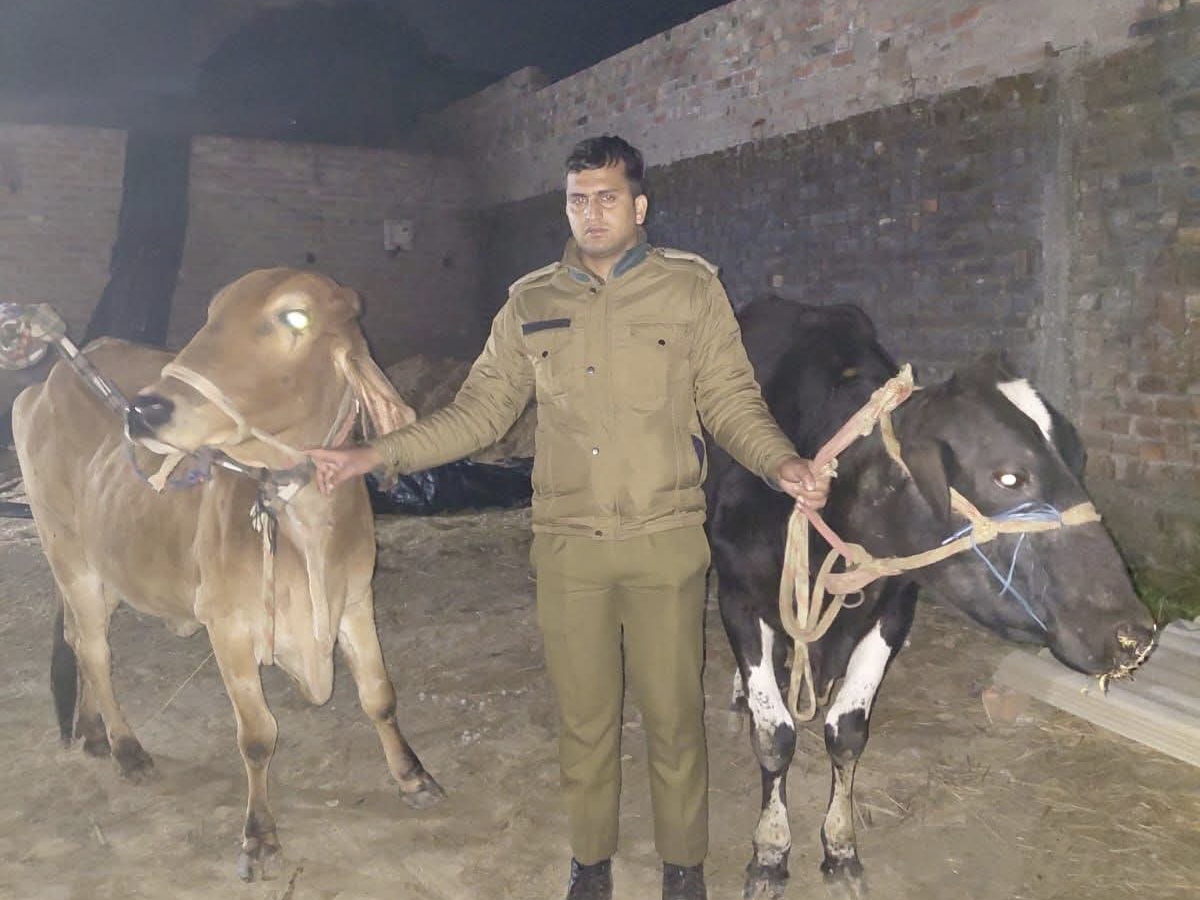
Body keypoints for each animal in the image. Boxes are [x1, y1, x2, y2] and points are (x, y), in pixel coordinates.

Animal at [12, 267, 445, 881]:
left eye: (294, 316)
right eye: (212, 315)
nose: (142, 412)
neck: (303, 515)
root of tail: (43, 386)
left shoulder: (357, 599)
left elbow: (379, 695)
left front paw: (413, 777)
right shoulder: (228, 625)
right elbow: (258, 735)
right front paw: (259, 836)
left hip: (108, 568)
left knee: (77, 640)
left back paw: (94, 733)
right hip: (68, 556)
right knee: (94, 650)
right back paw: (127, 748)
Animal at [705, 297, 1157, 899]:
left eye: (1078, 457)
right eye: (1008, 476)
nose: (1135, 634)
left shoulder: (896, 603)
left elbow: (846, 732)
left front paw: (840, 850)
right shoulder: (737, 590)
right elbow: (774, 732)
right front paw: (770, 853)